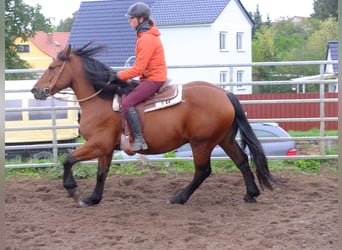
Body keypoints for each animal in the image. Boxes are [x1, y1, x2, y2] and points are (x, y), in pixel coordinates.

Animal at [30, 43, 276, 207]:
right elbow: (101, 173)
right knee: (242, 161)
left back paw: (179, 197)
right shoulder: (106, 148)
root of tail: (224, 94)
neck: (102, 99)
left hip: (201, 143)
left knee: (203, 171)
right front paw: (93, 198)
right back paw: (251, 193)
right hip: (223, 139)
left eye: (52, 67)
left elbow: (68, 159)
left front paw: (72, 189)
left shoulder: (97, 144)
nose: (35, 90)